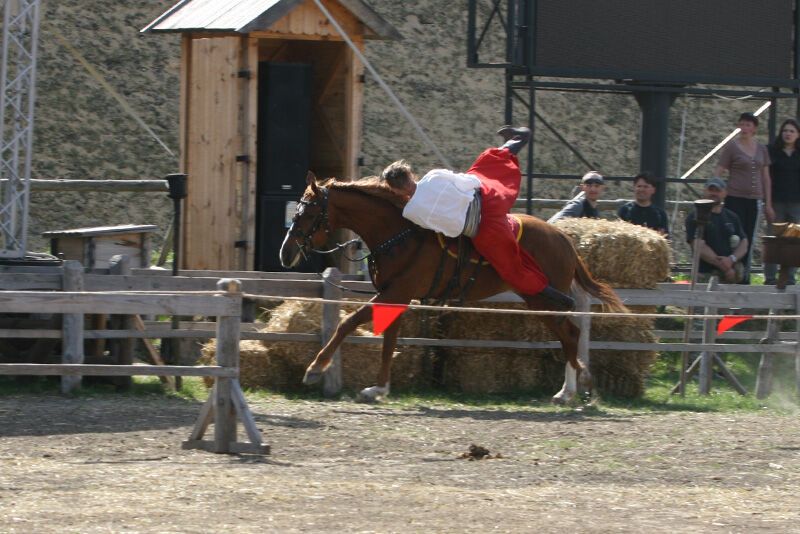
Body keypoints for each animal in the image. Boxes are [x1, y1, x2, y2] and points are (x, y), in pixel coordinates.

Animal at [278, 174, 628, 404]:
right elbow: (389, 341)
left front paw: (316, 367)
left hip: (542, 300)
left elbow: (348, 323)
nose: (286, 252)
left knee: (570, 334)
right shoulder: (396, 296)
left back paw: (572, 388)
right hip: (540, 302)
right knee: (569, 334)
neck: (400, 233)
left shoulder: (396, 292)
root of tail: (564, 238)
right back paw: (571, 388)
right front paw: (379, 388)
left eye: (308, 213)